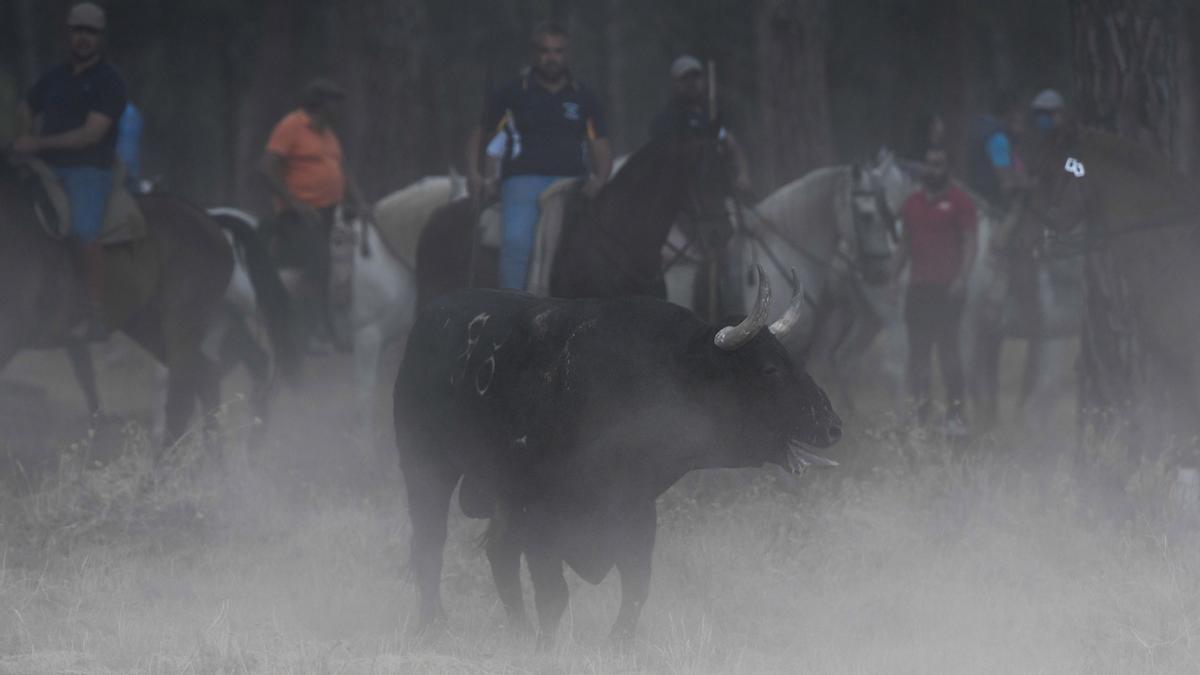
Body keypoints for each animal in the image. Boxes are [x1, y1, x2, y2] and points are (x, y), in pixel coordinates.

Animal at [0, 160, 234, 446]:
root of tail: (214, 228)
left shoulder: (8, 335)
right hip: (147, 326)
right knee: (205, 377)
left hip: (182, 323)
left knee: (182, 399)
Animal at [393, 273, 844, 638]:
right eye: (769, 368)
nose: (832, 425)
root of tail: (430, 316)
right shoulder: (538, 512)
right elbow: (553, 593)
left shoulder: (636, 509)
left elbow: (636, 587)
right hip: (425, 467)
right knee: (432, 545)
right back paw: (432, 625)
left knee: (499, 555)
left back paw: (517, 630)